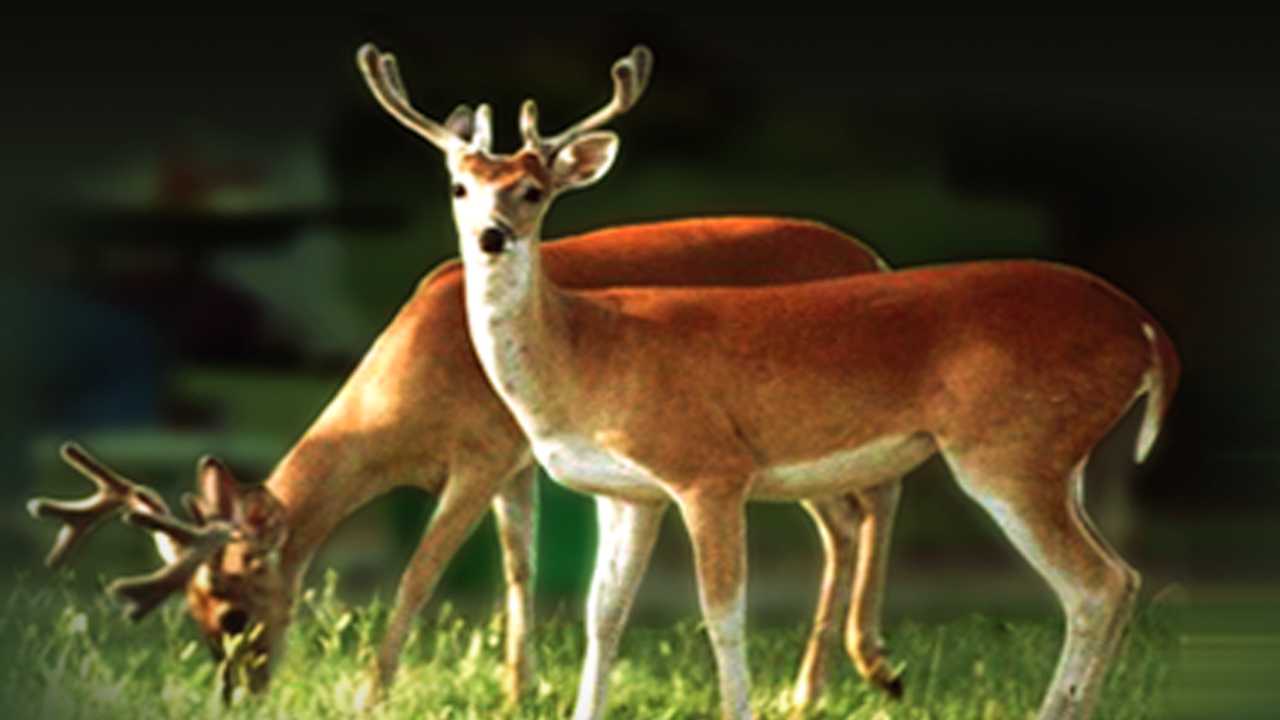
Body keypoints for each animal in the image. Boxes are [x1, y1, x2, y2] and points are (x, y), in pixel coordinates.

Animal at [27, 49, 906, 712]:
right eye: (196, 614)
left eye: (239, 610)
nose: (243, 692)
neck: (406, 394)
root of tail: (873, 256)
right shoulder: (517, 459)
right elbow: (519, 569)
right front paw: (521, 691)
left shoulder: (482, 453)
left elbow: (420, 576)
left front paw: (373, 693)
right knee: (844, 519)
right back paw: (817, 685)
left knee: (872, 502)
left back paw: (864, 669)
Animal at [354, 39, 1181, 720]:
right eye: (461, 187)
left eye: (533, 189)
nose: (493, 235)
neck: (584, 355)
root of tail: (1148, 331)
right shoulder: (628, 493)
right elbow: (603, 614)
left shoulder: (708, 469)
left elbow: (723, 614)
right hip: (1061, 456)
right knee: (1121, 578)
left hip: (1009, 448)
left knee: (1096, 584)